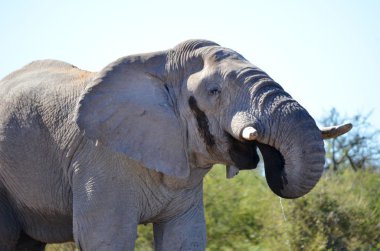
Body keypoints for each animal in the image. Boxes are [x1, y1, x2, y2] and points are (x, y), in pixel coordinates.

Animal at [0, 40, 350, 250]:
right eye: (214, 92)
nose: (267, 157)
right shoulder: (98, 160)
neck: (161, 63)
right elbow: (106, 238)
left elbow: (184, 238)